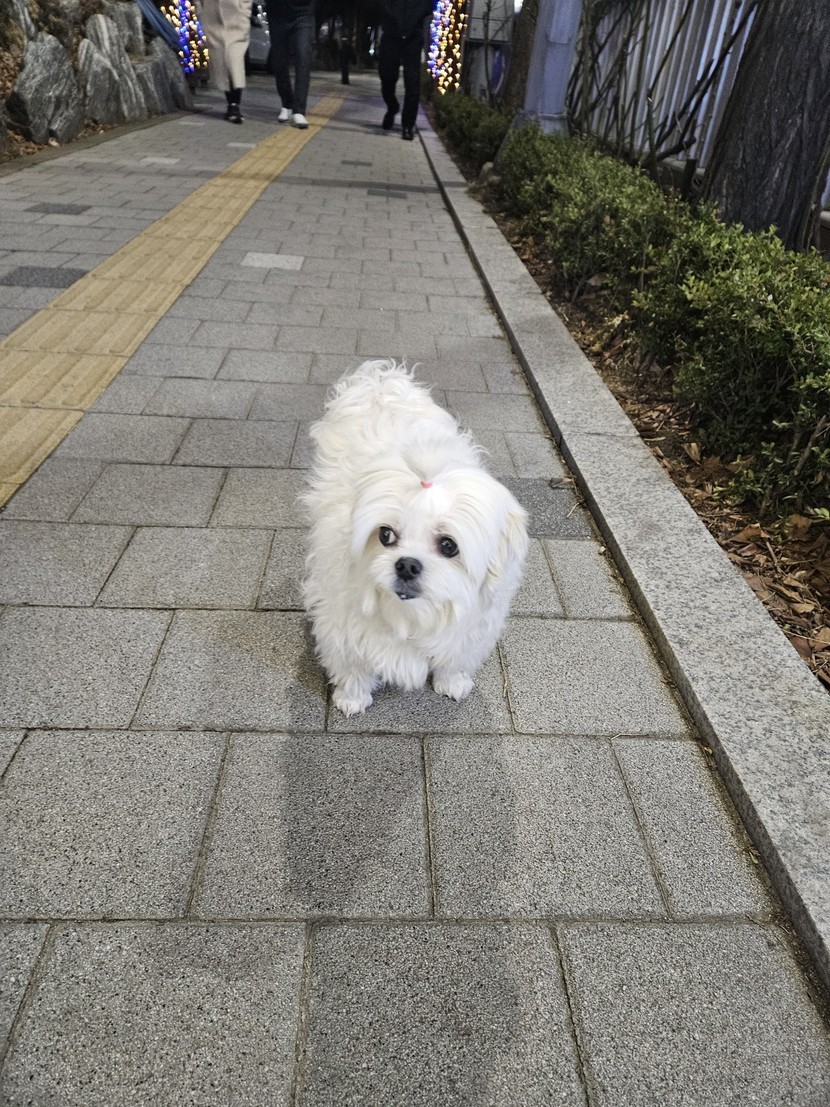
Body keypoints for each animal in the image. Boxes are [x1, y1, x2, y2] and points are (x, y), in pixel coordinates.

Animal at [302, 360, 529, 716]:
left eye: (448, 545)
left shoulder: (473, 627)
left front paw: (452, 681)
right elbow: (353, 665)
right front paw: (352, 697)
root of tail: (381, 382)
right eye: (385, 534)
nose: (407, 565)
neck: (412, 615)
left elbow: (455, 658)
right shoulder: (342, 621)